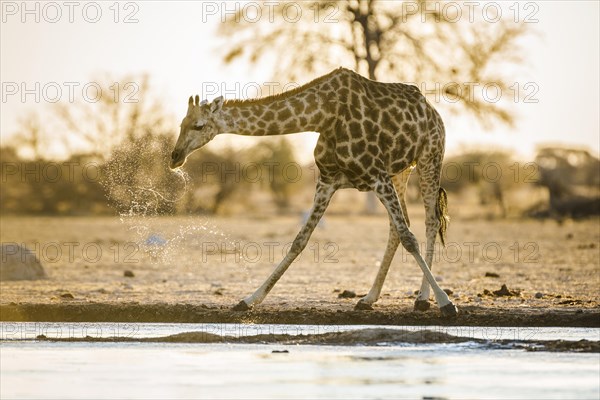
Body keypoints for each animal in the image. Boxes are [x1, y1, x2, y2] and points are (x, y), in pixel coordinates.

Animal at [171, 66, 458, 316]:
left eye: (198, 125)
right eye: (180, 124)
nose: (175, 157)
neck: (323, 116)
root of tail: (433, 112)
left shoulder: (376, 174)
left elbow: (410, 238)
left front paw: (446, 304)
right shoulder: (328, 180)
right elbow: (300, 240)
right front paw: (249, 299)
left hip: (429, 157)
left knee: (429, 221)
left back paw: (423, 299)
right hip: (401, 172)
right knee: (398, 226)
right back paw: (368, 298)